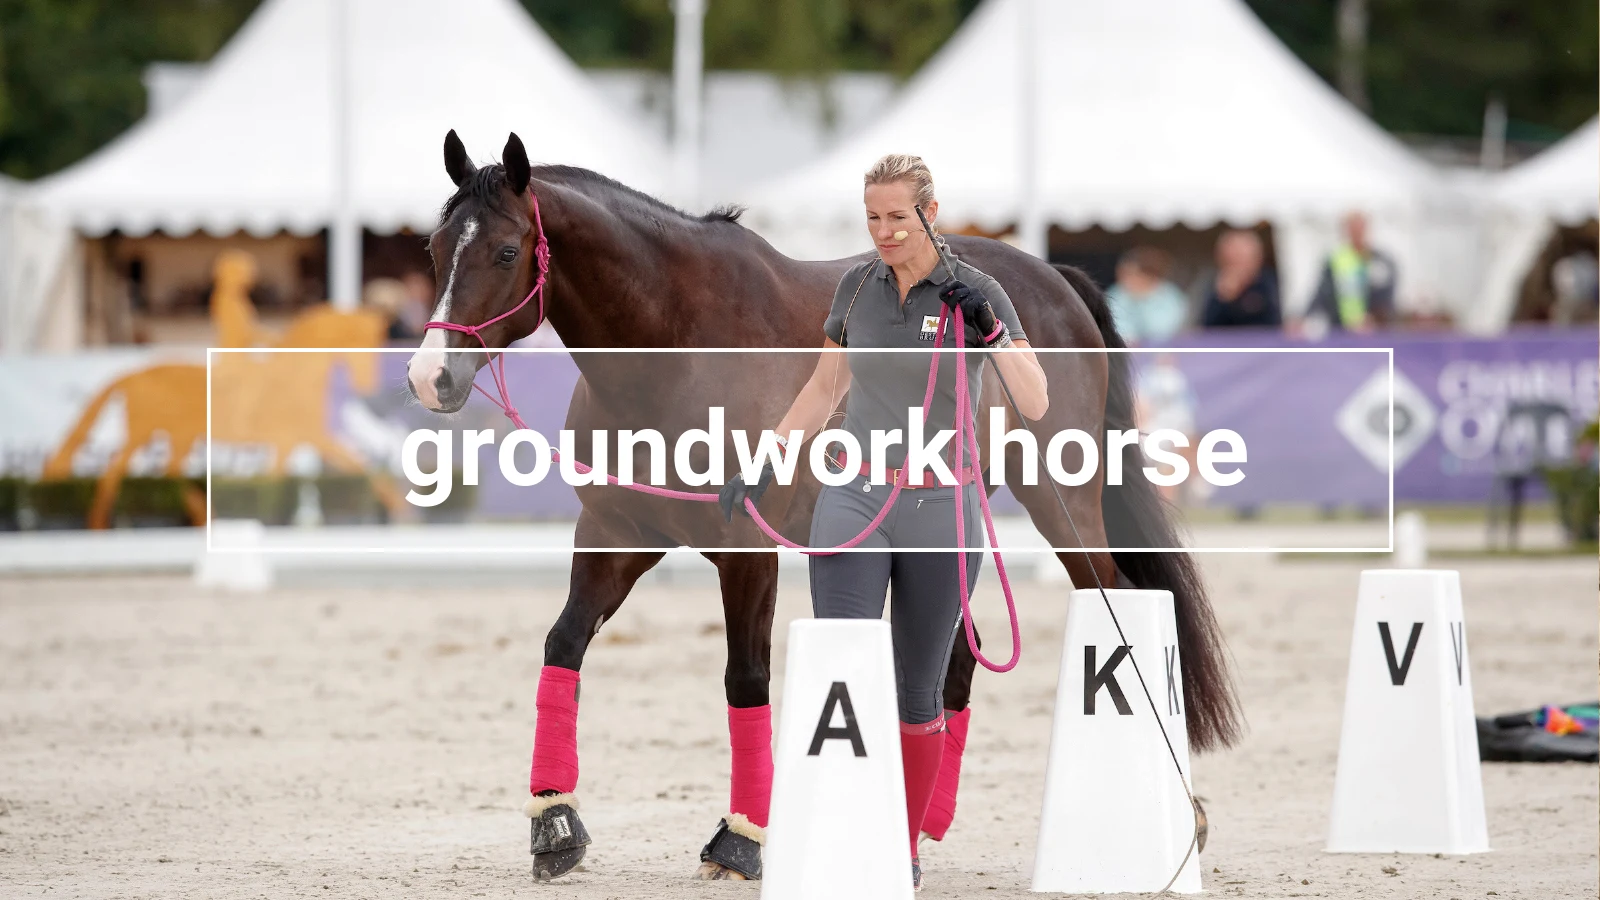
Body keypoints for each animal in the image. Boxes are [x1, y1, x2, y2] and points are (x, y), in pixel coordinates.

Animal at [406, 131, 1241, 881]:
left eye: (505, 252)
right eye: (436, 250)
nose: (429, 378)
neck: (678, 342)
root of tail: (1056, 279)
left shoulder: (747, 549)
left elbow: (745, 679)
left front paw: (741, 839)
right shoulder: (615, 535)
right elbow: (564, 647)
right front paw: (554, 822)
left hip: (1062, 502)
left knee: (1116, 604)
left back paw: (1178, 817)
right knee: (954, 662)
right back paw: (921, 824)